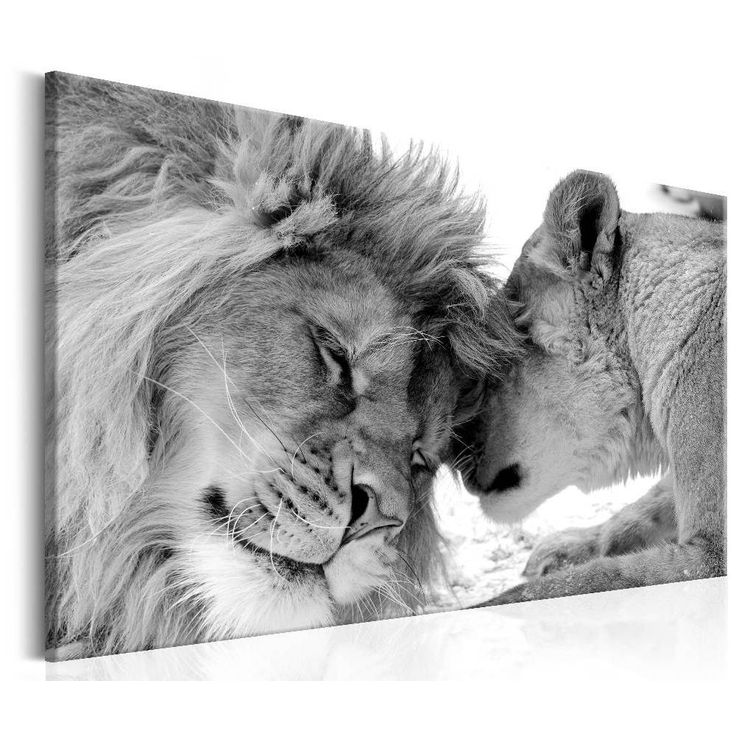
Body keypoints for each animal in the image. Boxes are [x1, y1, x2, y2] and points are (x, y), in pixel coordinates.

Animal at [455, 170, 725, 605]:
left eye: (492, 363)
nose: (448, 452)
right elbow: (644, 509)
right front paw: (566, 547)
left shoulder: (710, 557)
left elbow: (582, 583)